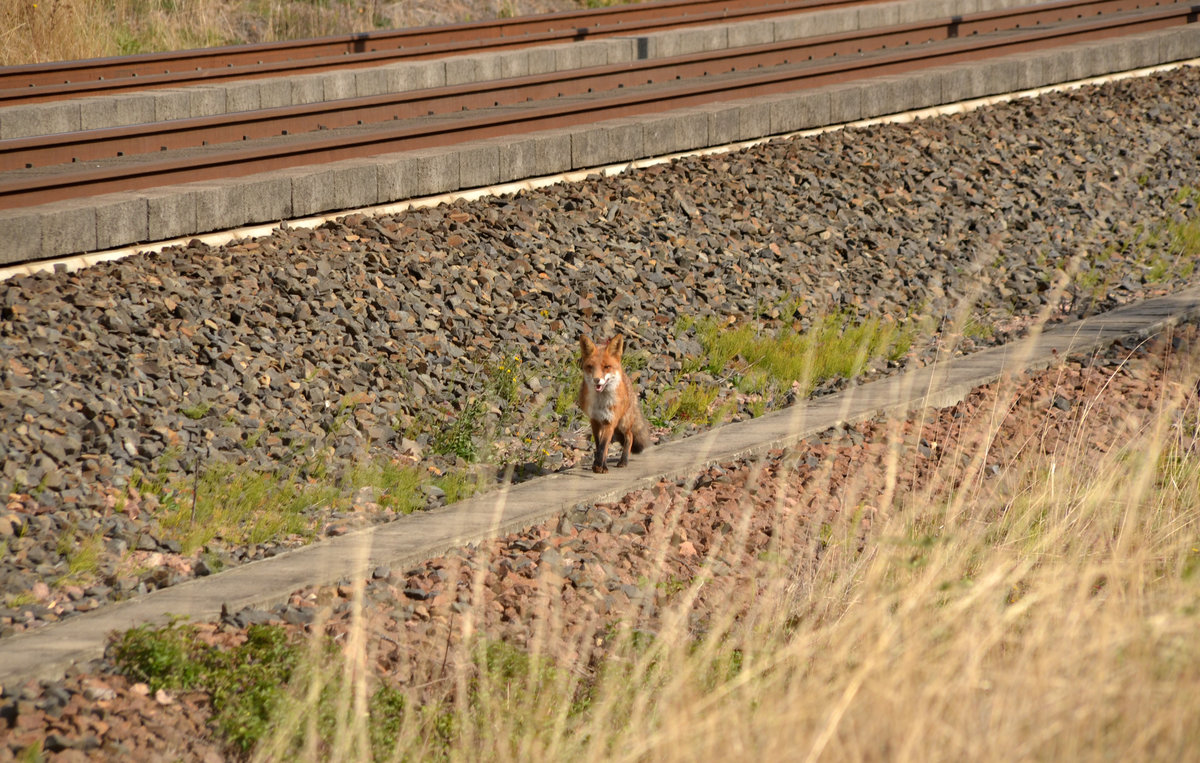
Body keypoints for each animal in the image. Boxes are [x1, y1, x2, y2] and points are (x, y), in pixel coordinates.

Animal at [578, 333, 651, 473]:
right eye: (590, 367)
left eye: (606, 367)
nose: (596, 380)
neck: (601, 403)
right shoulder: (595, 420)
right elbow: (599, 445)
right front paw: (598, 465)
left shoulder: (610, 421)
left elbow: (603, 446)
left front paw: (599, 466)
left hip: (623, 423)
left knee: (630, 436)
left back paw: (623, 461)